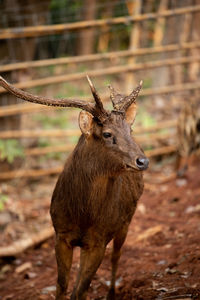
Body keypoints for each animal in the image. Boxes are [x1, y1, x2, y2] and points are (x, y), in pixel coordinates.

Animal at [0, 75, 148, 300]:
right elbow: (62, 286)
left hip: (126, 221)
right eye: (107, 134)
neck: (83, 216)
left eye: (129, 130)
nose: (142, 161)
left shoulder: (99, 240)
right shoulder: (61, 233)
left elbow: (81, 289)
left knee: (116, 256)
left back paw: (112, 293)